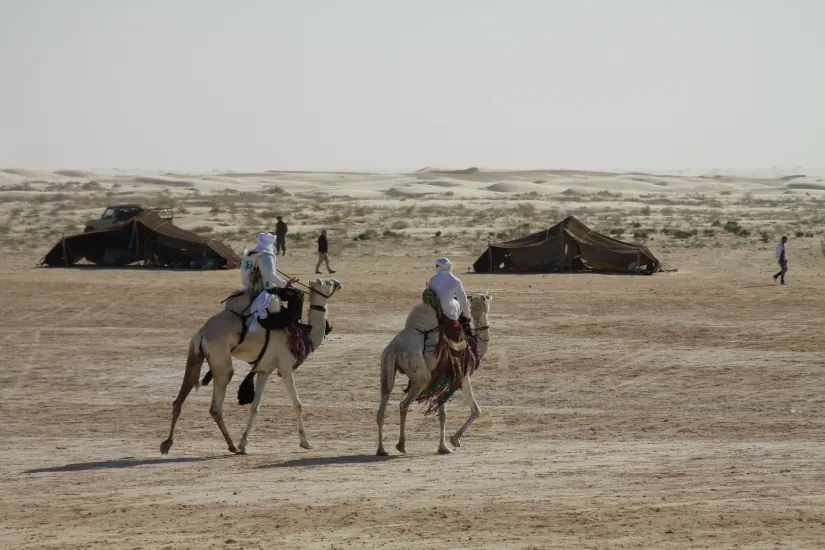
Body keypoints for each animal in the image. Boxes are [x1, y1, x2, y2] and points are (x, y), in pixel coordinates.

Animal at [160, 278, 343, 456]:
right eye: (327, 283)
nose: (338, 283)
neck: (304, 336)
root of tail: (202, 334)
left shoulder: (264, 370)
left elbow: (255, 408)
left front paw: (244, 444)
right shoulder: (285, 368)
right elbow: (297, 404)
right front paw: (305, 443)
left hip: (194, 355)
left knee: (180, 397)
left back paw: (168, 444)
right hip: (221, 362)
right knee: (216, 405)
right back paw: (231, 446)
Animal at [376, 292, 492, 456]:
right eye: (485, 298)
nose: (489, 294)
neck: (473, 345)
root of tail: (396, 346)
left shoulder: (442, 380)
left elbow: (442, 414)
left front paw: (443, 447)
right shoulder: (463, 376)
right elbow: (476, 409)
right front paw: (454, 439)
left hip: (387, 364)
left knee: (383, 402)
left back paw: (381, 449)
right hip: (420, 374)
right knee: (404, 404)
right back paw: (401, 445)